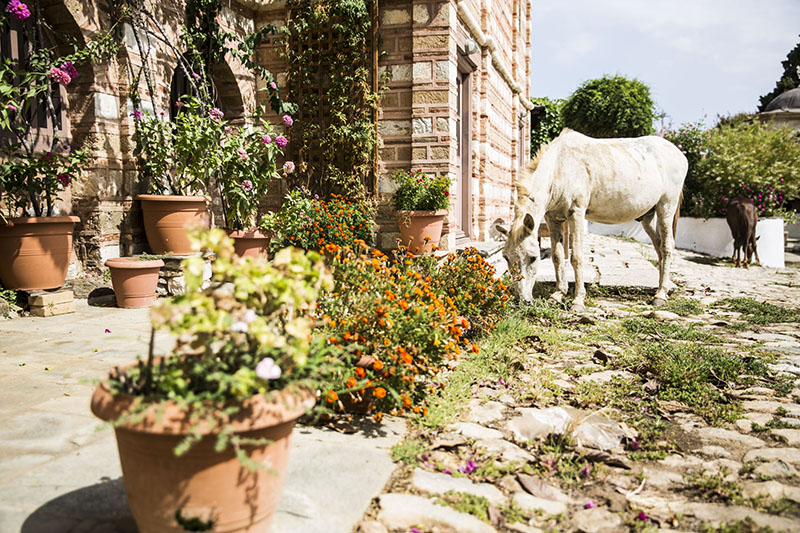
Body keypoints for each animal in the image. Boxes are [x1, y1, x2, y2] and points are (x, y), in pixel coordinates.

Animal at [494, 130, 688, 312]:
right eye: (506, 257)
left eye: (533, 258)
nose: (522, 300)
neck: (560, 167)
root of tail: (680, 155)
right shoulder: (553, 219)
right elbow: (557, 257)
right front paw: (558, 295)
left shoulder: (576, 213)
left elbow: (576, 257)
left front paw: (578, 301)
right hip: (648, 216)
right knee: (658, 247)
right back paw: (664, 288)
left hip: (666, 207)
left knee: (667, 247)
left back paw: (660, 295)